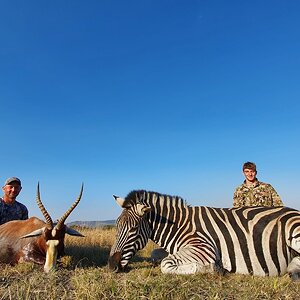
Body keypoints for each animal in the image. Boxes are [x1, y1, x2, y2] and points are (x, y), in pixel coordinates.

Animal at [108, 190, 300, 278]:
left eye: (133, 229)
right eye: (116, 226)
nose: (111, 265)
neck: (179, 226)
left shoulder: (203, 247)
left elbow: (165, 264)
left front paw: (213, 268)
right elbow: (156, 255)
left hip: (294, 230)